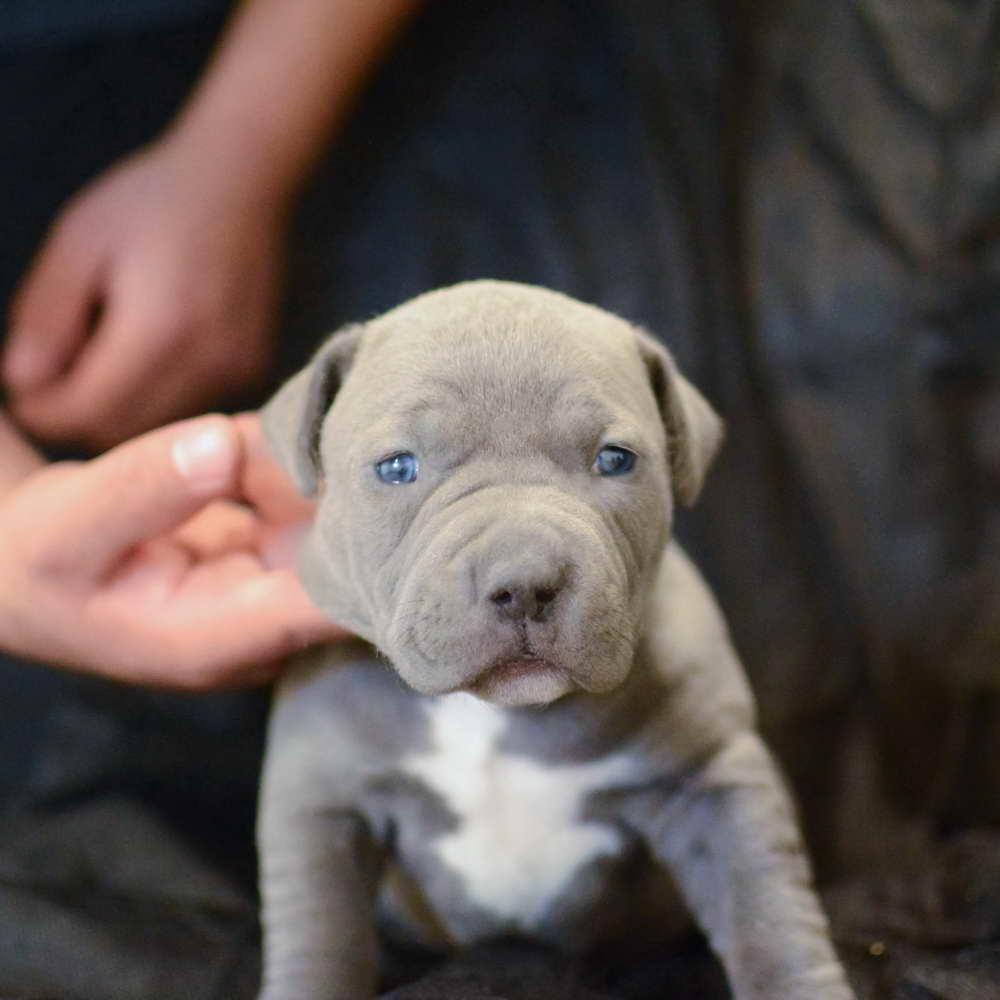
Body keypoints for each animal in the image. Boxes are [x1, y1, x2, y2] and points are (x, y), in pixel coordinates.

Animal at [256, 282, 852, 1000]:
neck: (495, 713)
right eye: (397, 467)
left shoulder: (710, 779)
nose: (523, 582)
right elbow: (320, 937)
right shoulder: (320, 803)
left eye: (615, 460)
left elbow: (766, 913)